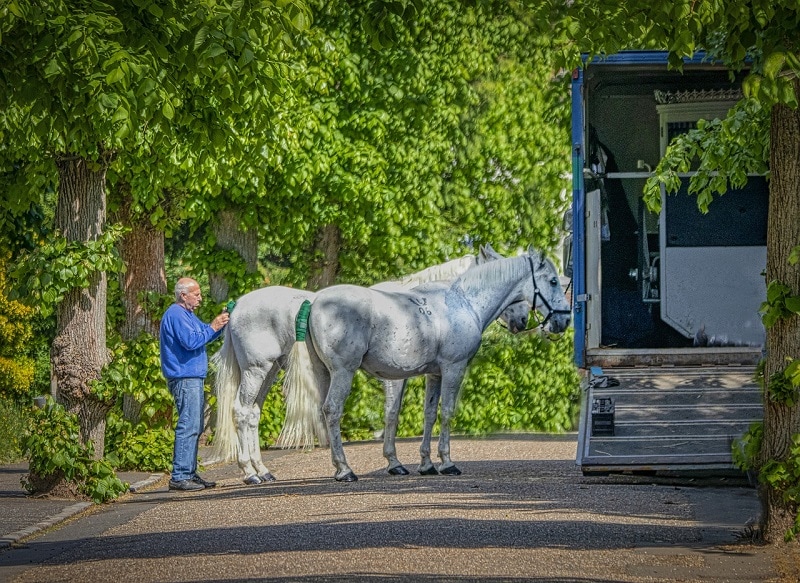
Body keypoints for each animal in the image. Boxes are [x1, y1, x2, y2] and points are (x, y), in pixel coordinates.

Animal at [209, 245, 528, 484]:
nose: (522, 319)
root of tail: (237, 306)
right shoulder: (397, 377)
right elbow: (392, 415)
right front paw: (396, 462)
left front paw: (405, 463)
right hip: (258, 370)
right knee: (242, 412)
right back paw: (253, 473)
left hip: (269, 371)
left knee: (252, 414)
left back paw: (262, 471)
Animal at [278, 251, 572, 484]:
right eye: (553, 281)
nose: (563, 321)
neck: (462, 303)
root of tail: (315, 301)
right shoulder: (453, 369)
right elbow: (446, 412)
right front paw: (447, 463)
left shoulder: (435, 374)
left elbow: (428, 414)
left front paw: (426, 464)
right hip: (343, 372)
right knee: (332, 410)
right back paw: (345, 470)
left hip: (323, 373)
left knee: (323, 410)